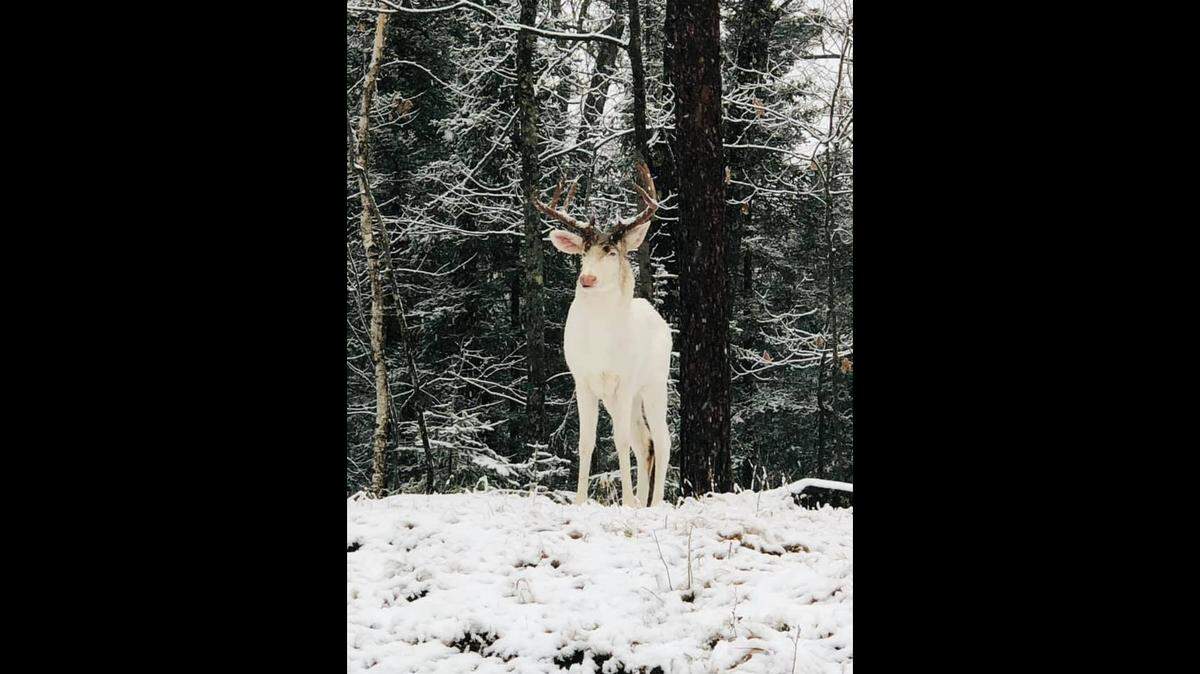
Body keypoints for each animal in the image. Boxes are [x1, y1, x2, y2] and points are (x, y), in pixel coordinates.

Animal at [531, 162, 672, 508]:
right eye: (583, 251)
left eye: (611, 252)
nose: (587, 279)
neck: (600, 347)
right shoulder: (583, 380)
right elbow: (586, 441)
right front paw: (581, 501)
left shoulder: (625, 379)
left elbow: (618, 440)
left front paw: (628, 502)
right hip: (622, 397)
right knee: (644, 441)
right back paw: (643, 502)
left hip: (653, 382)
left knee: (662, 439)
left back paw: (654, 502)